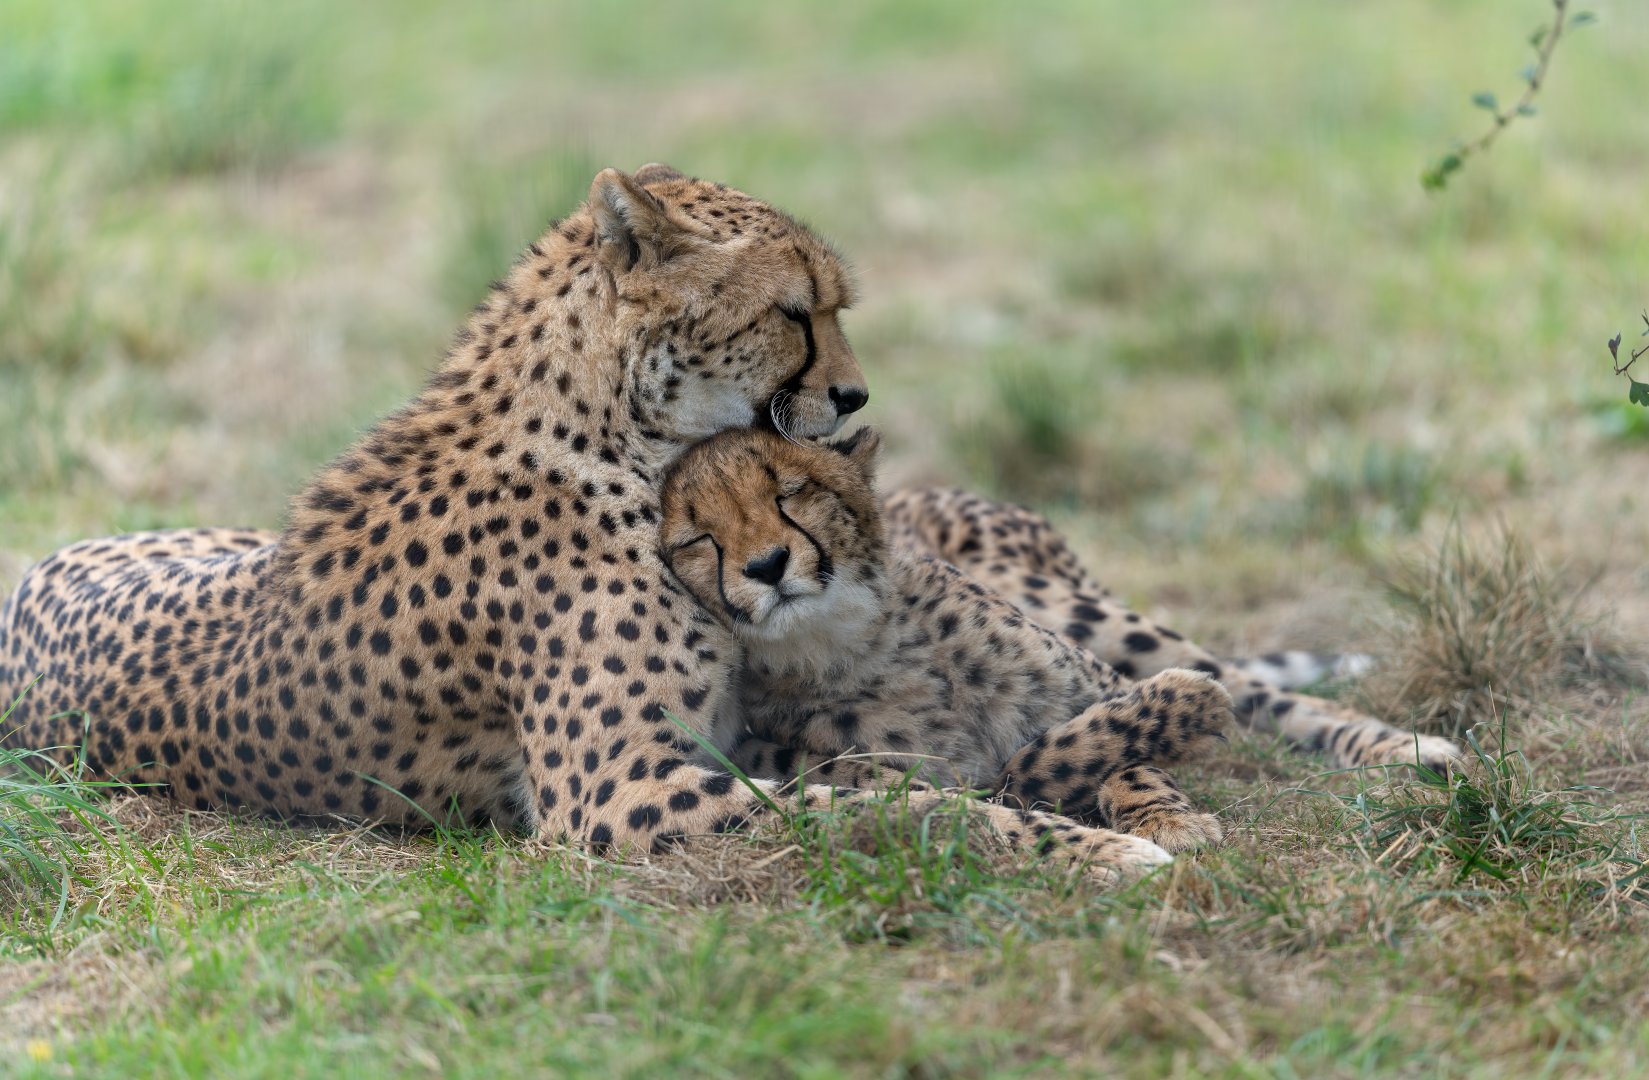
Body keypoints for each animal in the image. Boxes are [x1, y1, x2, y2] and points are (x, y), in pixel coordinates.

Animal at [0, 164, 1171, 880]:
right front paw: (1095, 852)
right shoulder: (623, 791)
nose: (853, 397)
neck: (616, 433)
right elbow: (890, 808)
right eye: (796, 313)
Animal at [658, 425, 1232, 854]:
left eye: (791, 493)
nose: (767, 565)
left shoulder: (1097, 687)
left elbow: (1129, 761)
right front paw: (1194, 698)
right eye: (699, 539)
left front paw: (1171, 819)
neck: (852, 645)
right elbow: (1030, 766)